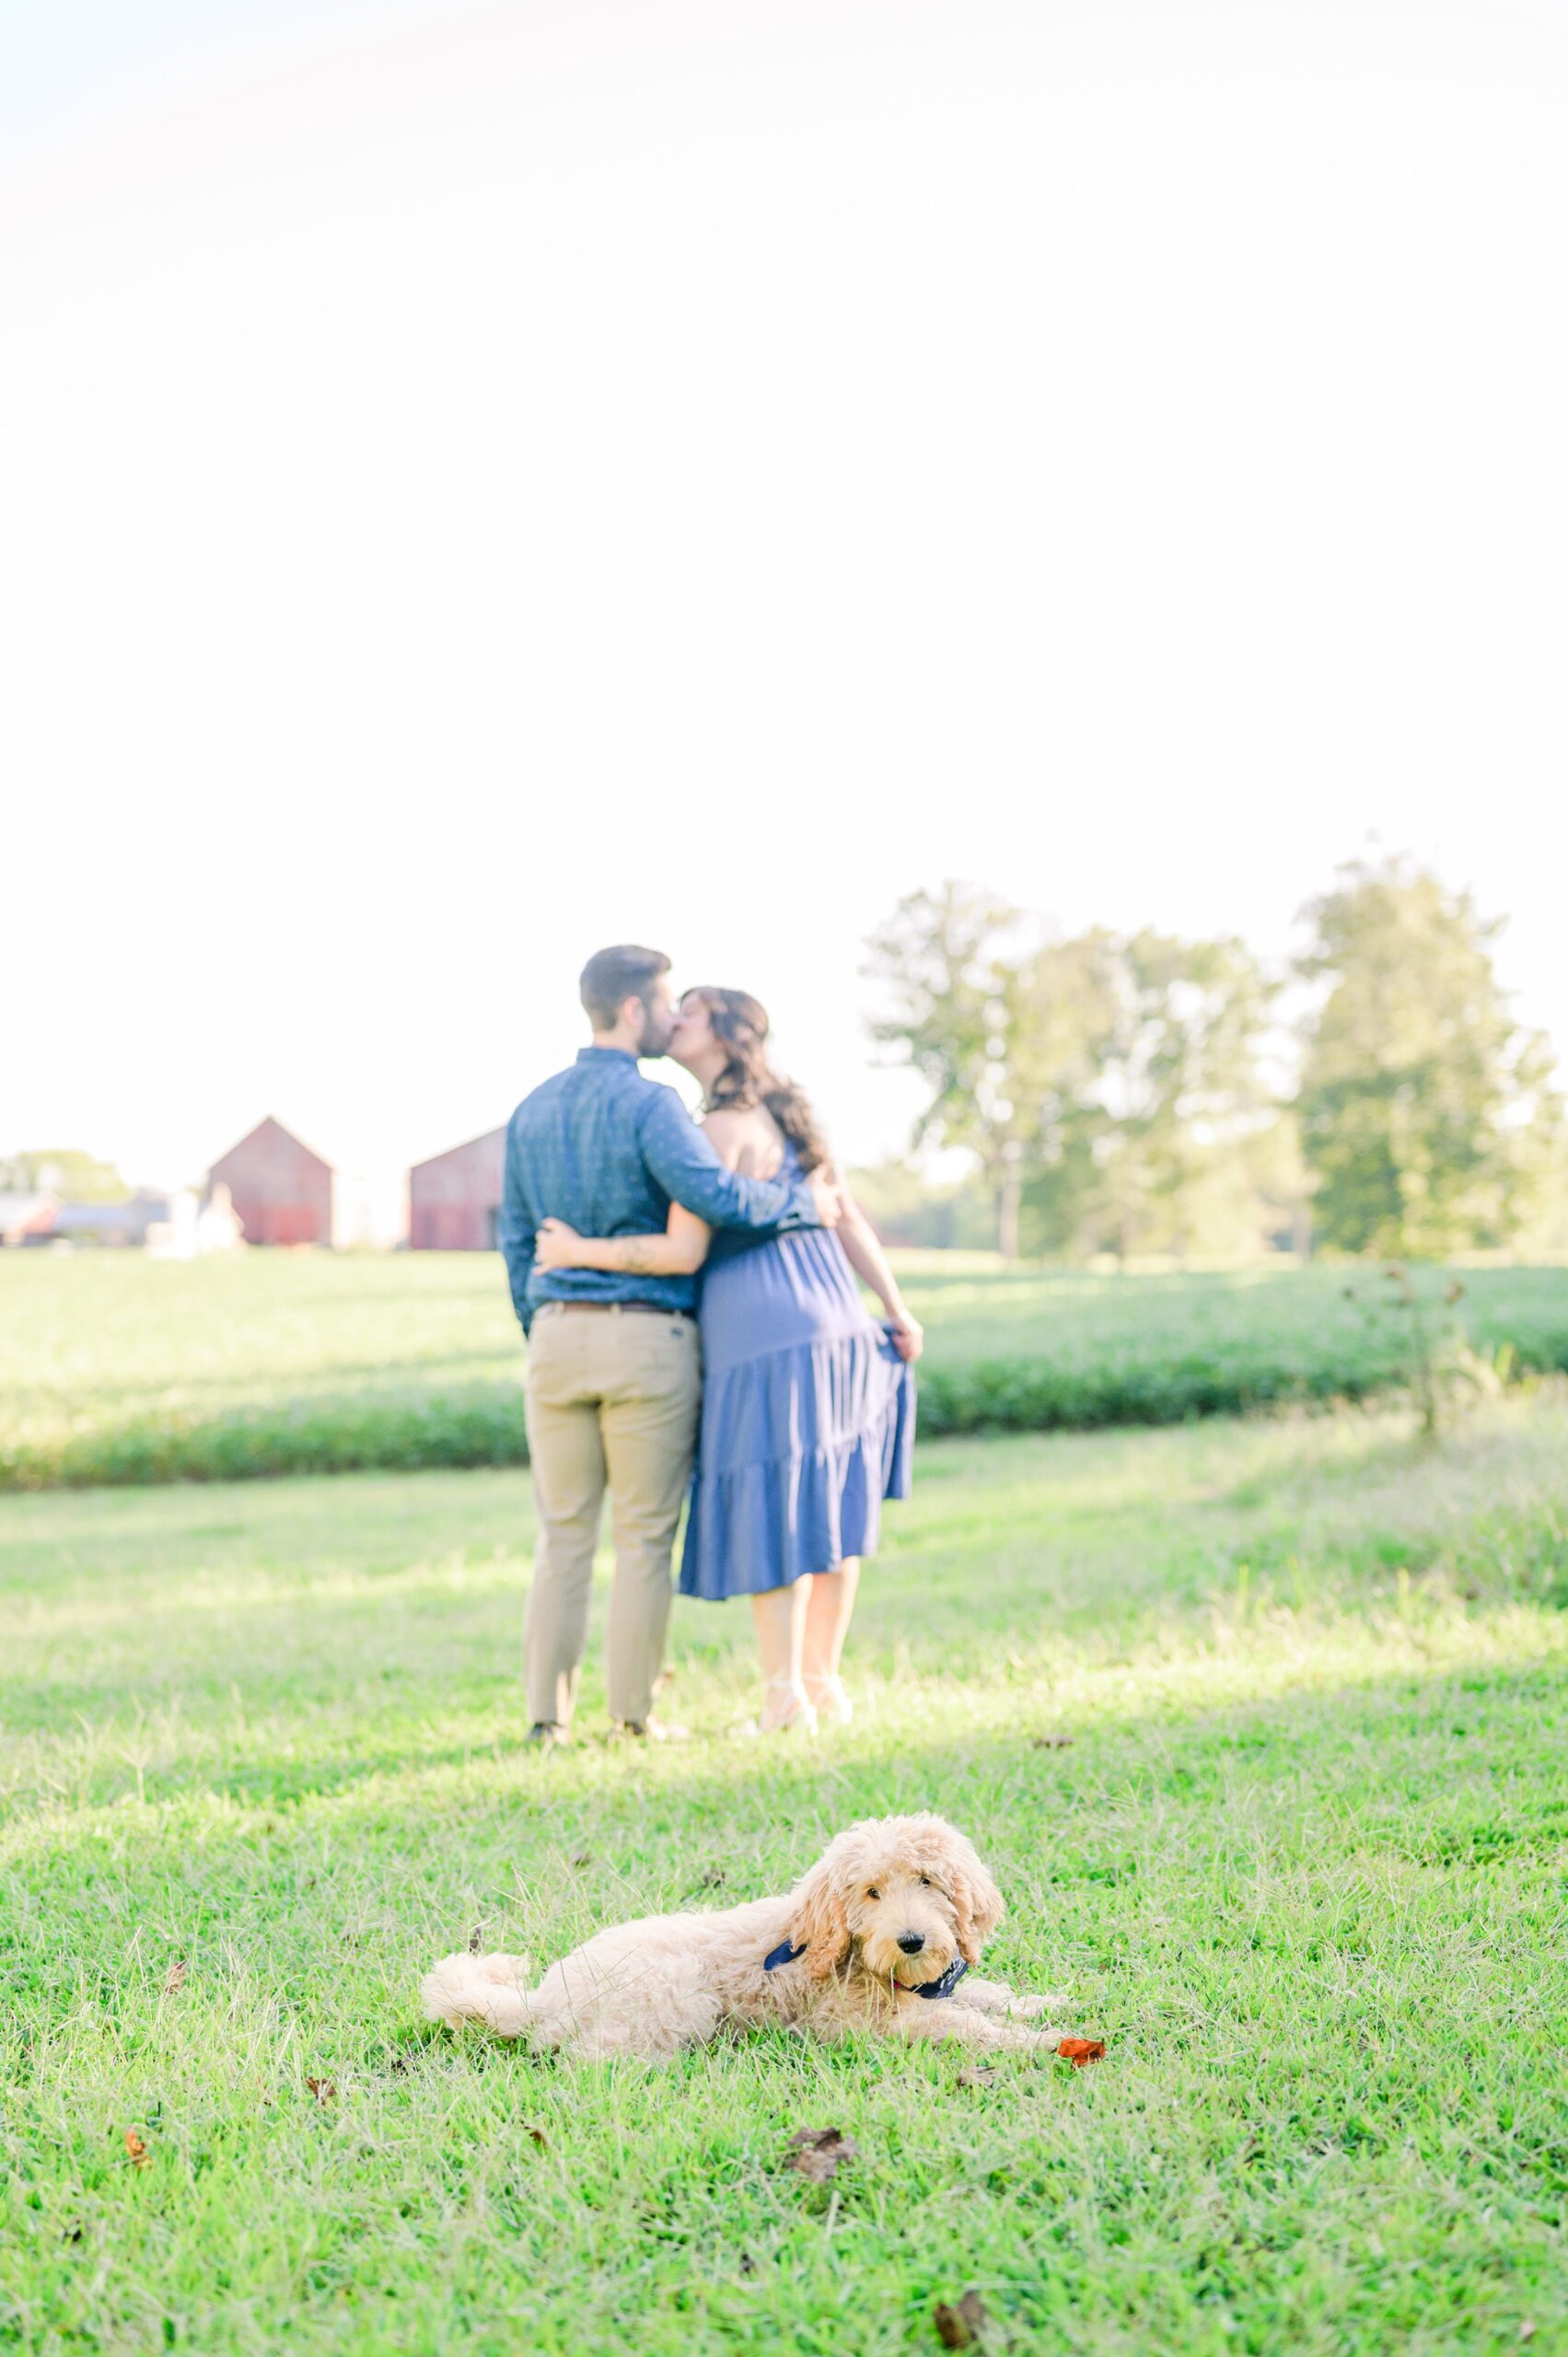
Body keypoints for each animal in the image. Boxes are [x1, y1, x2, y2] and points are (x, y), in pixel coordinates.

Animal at [419, 1800, 1051, 2064]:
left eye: (927, 1881)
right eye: (871, 1893)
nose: (912, 1941)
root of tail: (544, 1998)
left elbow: (985, 1996)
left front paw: (1042, 2004)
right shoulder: (860, 2022)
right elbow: (967, 2025)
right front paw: (1042, 2043)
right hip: (676, 1991)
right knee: (588, 2057)